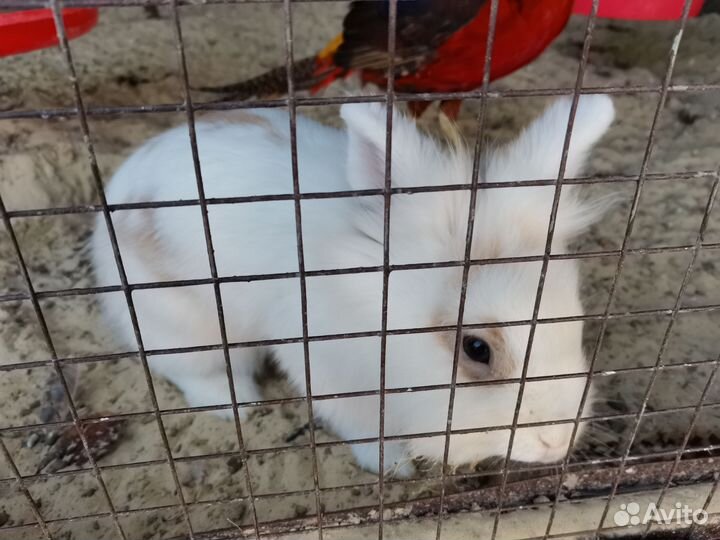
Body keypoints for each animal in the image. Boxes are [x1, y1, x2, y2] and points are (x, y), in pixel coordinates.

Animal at [91, 95, 615, 478]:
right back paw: (237, 404)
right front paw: (397, 468)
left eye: (576, 322)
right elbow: (366, 433)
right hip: (178, 321)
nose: (555, 443)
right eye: (477, 348)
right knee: (192, 371)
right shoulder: (334, 379)